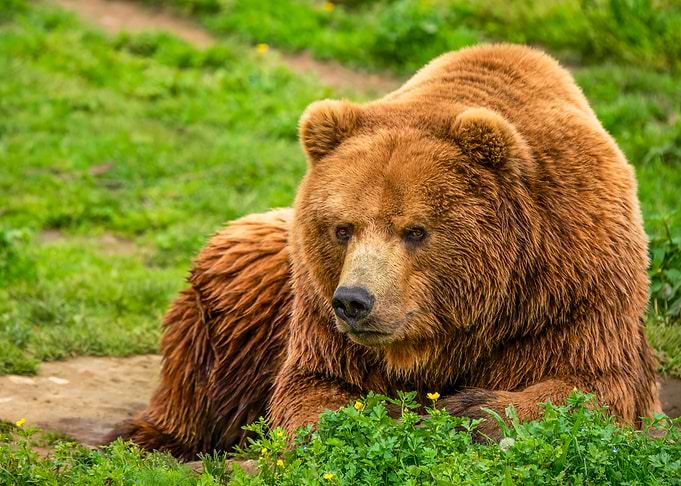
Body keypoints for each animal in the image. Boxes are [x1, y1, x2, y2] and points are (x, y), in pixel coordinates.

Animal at [107, 44, 661, 460]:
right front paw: (392, 419)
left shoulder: (572, 288)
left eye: (415, 230)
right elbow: (313, 391)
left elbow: (595, 385)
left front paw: (472, 409)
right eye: (343, 228)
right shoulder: (318, 312)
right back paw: (148, 436)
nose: (355, 301)